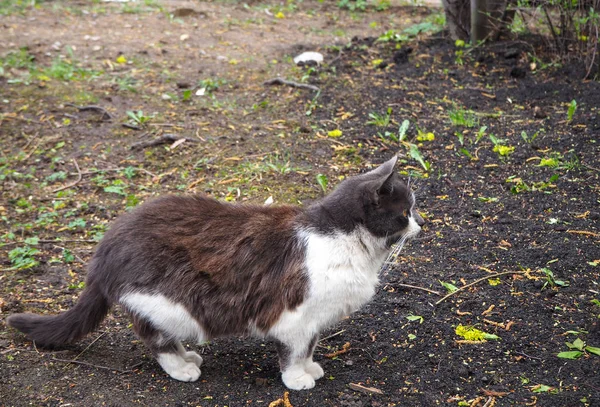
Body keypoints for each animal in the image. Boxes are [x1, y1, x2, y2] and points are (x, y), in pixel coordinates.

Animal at [7, 155, 424, 390]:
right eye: (404, 213)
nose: (420, 227)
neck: (346, 240)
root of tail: (104, 249)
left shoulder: (314, 318)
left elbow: (309, 347)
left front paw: (311, 368)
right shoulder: (293, 314)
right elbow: (293, 351)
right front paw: (296, 379)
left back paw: (188, 357)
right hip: (169, 302)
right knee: (153, 337)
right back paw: (181, 367)